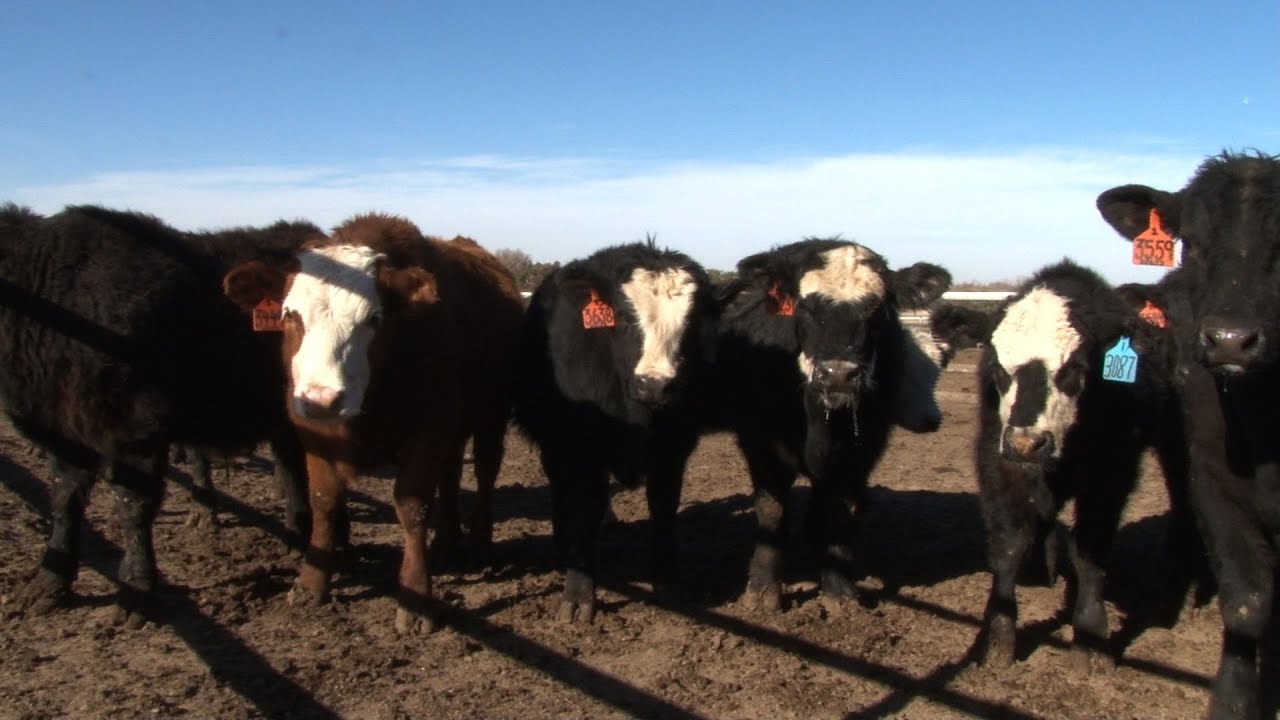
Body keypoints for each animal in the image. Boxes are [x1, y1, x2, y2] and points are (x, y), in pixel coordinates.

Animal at [0, 204, 317, 626]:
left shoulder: (136, 426)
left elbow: (133, 504)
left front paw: (136, 592)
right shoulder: (62, 428)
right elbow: (64, 497)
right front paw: (49, 581)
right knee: (290, 463)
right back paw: (297, 533)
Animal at [223, 213, 523, 633]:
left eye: (373, 318)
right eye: (290, 315)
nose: (322, 398)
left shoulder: (427, 431)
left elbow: (412, 506)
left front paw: (416, 597)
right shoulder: (314, 434)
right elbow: (324, 501)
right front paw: (311, 582)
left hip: (490, 416)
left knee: (484, 472)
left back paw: (480, 542)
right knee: (450, 475)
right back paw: (446, 541)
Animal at [511, 241, 719, 623]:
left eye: (693, 322)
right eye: (623, 317)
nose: (655, 385)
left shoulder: (675, 447)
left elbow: (663, 505)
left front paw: (668, 581)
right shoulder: (575, 444)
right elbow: (586, 505)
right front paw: (579, 594)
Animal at [706, 238, 952, 612]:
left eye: (876, 309)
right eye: (805, 306)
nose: (838, 374)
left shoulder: (862, 452)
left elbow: (839, 514)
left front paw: (840, 593)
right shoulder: (762, 445)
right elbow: (771, 510)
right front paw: (762, 593)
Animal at [929, 260, 1198, 673]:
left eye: (1075, 366)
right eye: (998, 366)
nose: (1028, 442)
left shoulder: (1112, 473)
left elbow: (1089, 550)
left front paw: (1091, 637)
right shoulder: (997, 458)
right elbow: (1008, 546)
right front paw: (995, 637)